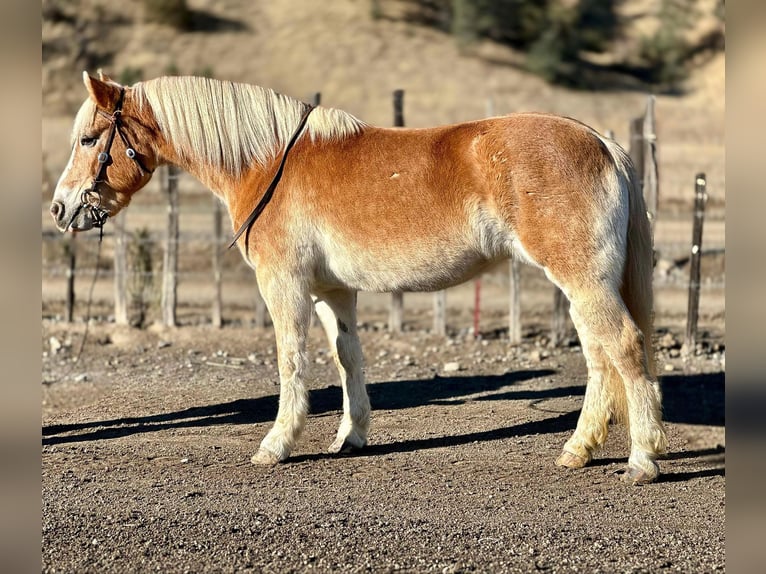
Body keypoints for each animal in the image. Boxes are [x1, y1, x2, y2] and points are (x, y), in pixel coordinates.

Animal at [52, 72, 672, 486]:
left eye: (87, 140)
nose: (61, 209)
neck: (268, 161)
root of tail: (602, 144)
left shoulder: (284, 285)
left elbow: (291, 360)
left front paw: (277, 444)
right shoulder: (332, 290)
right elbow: (348, 357)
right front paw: (350, 437)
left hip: (582, 279)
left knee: (623, 346)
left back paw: (642, 459)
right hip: (581, 285)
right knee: (599, 359)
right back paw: (578, 450)